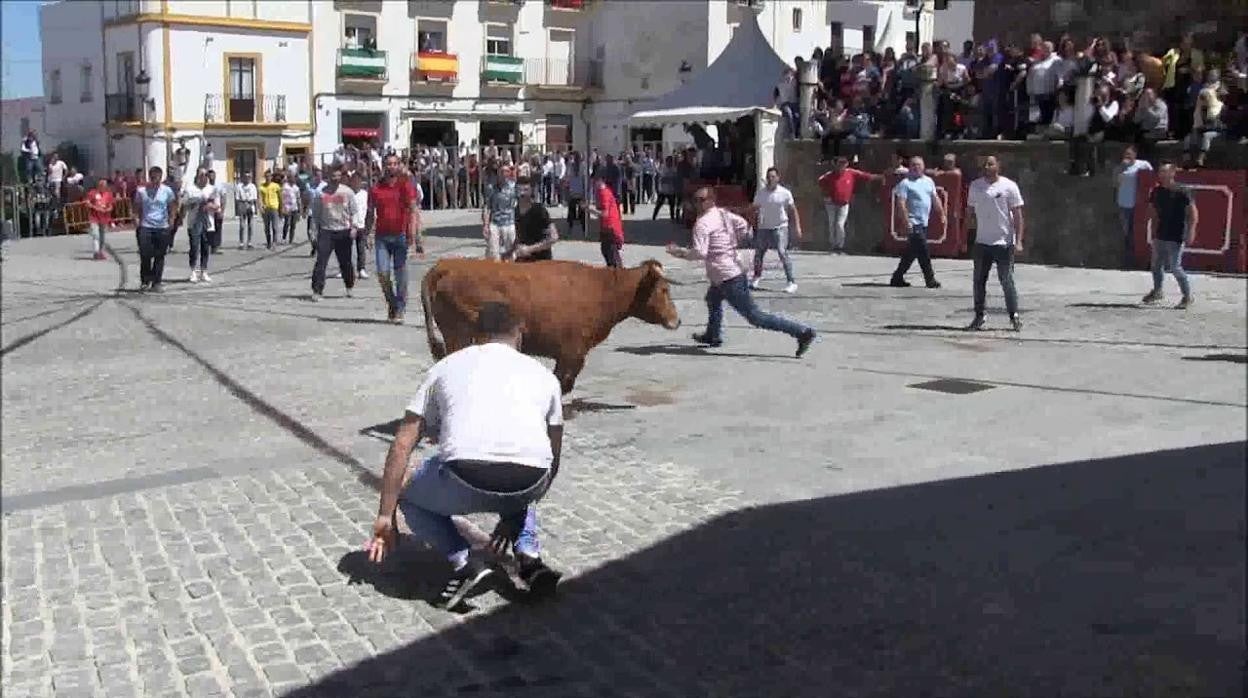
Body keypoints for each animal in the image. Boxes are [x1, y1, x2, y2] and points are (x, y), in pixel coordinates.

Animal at [421, 258, 683, 394]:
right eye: (664, 290)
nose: (677, 320)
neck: (603, 290)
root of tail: (447, 264)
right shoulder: (572, 350)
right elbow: (563, 380)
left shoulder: (569, 352)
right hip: (458, 334)